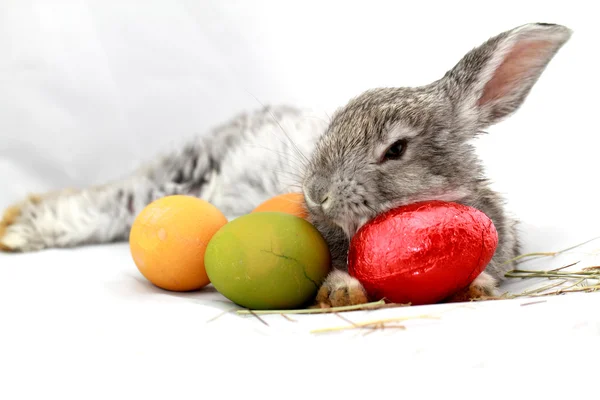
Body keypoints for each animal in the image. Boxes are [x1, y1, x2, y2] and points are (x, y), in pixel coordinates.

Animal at [0, 23, 572, 308]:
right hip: (179, 176)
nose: (316, 192)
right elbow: (334, 273)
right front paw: (341, 293)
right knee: (109, 201)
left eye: (396, 150)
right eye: (331, 128)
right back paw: (17, 229)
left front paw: (476, 290)